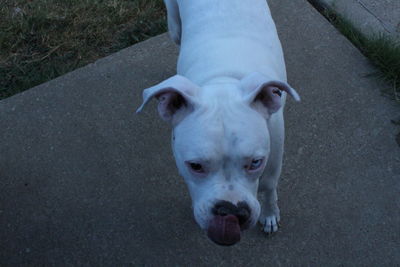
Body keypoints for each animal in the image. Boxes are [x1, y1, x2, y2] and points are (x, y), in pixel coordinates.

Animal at [136, 0, 298, 247]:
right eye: (195, 166)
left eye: (255, 162)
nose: (231, 210)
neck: (223, 80)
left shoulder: (274, 156)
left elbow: (269, 186)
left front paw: (270, 214)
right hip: (174, 25)